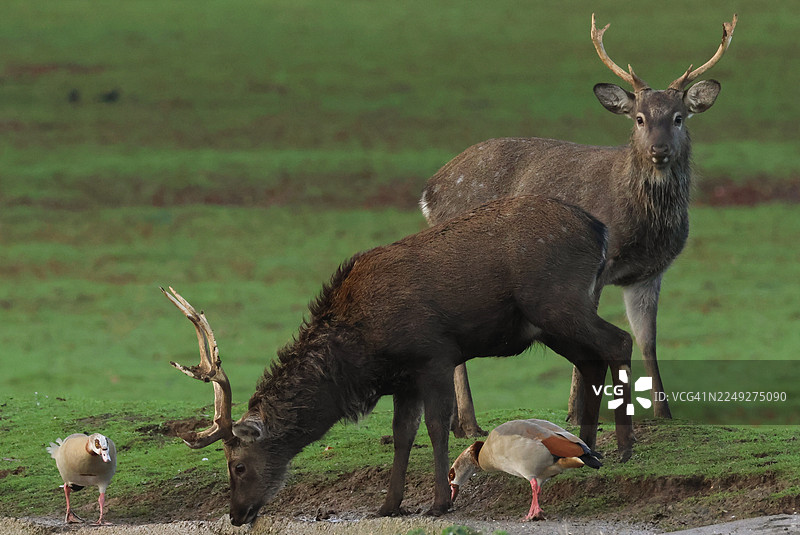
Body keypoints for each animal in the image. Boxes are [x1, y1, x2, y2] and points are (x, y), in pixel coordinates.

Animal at [161, 196, 634, 526]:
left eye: (237, 465)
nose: (236, 515)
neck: (360, 355)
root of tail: (599, 231)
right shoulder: (404, 379)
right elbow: (403, 434)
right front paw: (389, 505)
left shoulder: (435, 355)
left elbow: (437, 426)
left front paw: (439, 503)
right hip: (550, 320)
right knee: (590, 361)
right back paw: (586, 445)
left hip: (558, 301)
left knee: (620, 341)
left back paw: (625, 448)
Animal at [419, 14, 737, 437]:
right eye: (639, 119)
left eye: (679, 117)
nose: (659, 150)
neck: (643, 223)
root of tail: (429, 191)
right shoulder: (597, 267)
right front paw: (577, 413)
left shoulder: (649, 273)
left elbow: (648, 341)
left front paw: (663, 413)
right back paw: (469, 425)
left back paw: (458, 423)